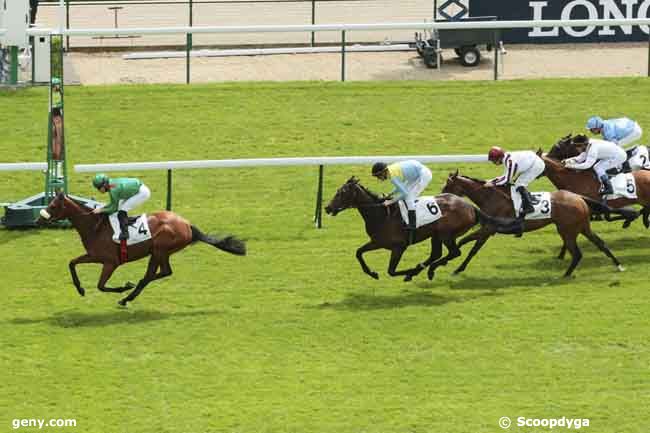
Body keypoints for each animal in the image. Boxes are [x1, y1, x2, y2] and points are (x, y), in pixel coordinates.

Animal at [38, 191, 246, 306]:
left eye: (53, 205)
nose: (39, 219)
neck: (94, 227)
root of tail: (187, 225)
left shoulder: (110, 262)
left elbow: (101, 286)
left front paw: (123, 286)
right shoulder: (93, 256)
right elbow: (72, 263)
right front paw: (80, 289)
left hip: (160, 250)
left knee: (156, 274)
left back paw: (128, 294)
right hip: (158, 252)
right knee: (161, 273)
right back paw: (129, 296)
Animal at [322, 176, 520, 280]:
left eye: (342, 193)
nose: (327, 208)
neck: (382, 215)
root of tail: (471, 207)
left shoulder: (398, 247)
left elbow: (391, 271)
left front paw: (409, 272)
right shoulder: (377, 242)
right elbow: (358, 252)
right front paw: (372, 273)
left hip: (446, 234)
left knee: (454, 252)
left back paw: (428, 270)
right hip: (436, 235)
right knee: (438, 254)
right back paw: (426, 268)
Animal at [440, 170, 624, 276]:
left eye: (448, 185)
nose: (441, 195)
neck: (491, 197)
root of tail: (578, 197)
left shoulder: (488, 229)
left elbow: (468, 246)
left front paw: (454, 266)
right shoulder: (488, 229)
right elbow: (468, 246)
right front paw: (453, 264)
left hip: (567, 231)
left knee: (577, 253)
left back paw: (565, 274)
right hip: (582, 227)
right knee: (600, 243)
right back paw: (618, 265)